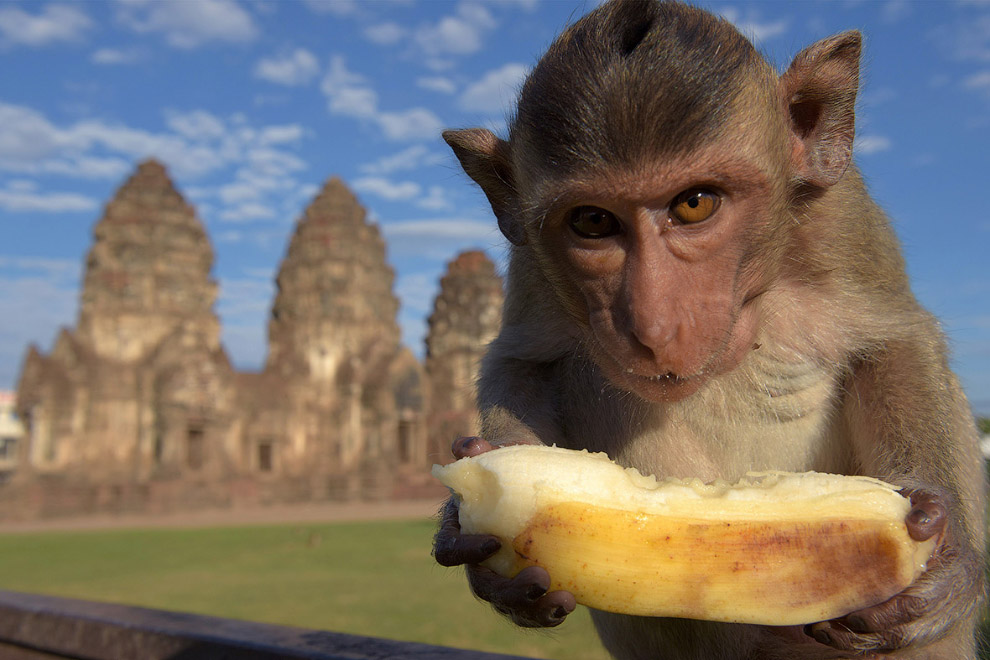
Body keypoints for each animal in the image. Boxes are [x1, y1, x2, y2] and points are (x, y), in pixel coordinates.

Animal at [432, 1, 987, 659]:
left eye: (695, 204)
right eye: (592, 221)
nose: (655, 324)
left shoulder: (844, 215)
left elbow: (894, 339)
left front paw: (945, 562)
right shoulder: (532, 263)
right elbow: (523, 359)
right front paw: (482, 537)